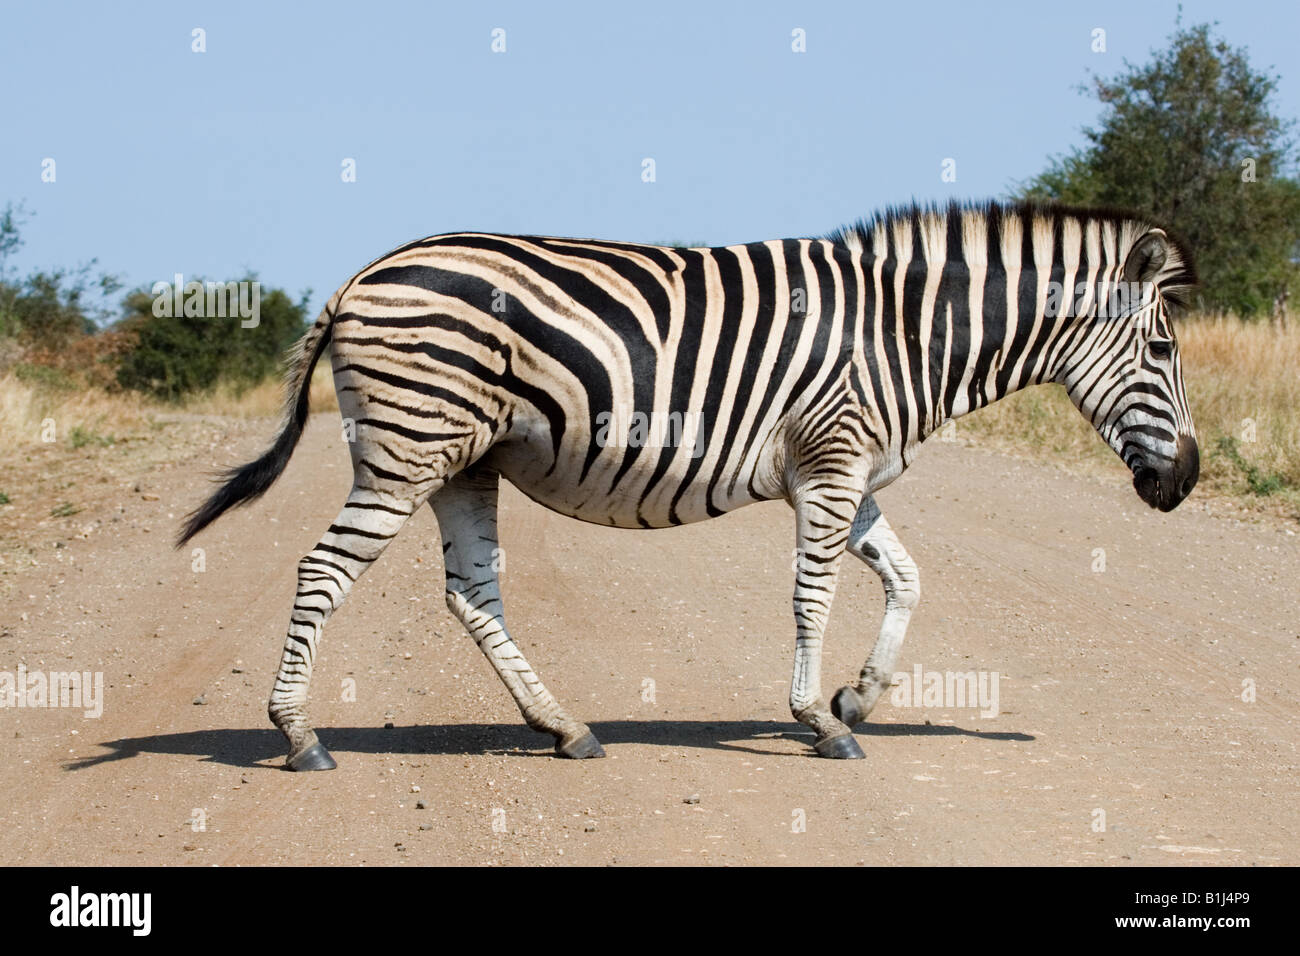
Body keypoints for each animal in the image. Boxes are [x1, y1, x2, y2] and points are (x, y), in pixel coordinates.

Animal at [178, 200, 1199, 771]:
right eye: (1162, 350)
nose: (1185, 483)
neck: (905, 333)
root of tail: (358, 277)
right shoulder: (831, 463)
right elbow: (813, 596)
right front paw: (818, 721)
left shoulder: (847, 472)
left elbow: (907, 579)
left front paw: (858, 697)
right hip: (409, 451)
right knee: (322, 571)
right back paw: (300, 737)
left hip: (464, 462)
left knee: (472, 592)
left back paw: (564, 727)